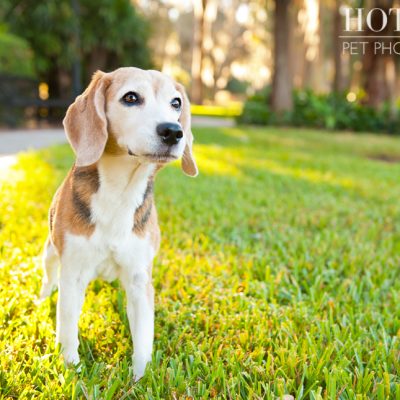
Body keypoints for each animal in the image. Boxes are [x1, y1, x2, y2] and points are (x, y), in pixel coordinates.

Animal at [39, 67, 198, 380]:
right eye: (131, 97)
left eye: (176, 103)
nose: (173, 131)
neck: (120, 191)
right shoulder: (73, 274)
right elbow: (67, 328)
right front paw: (72, 369)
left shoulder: (139, 279)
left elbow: (144, 337)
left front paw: (141, 377)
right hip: (50, 253)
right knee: (49, 278)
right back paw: (42, 297)